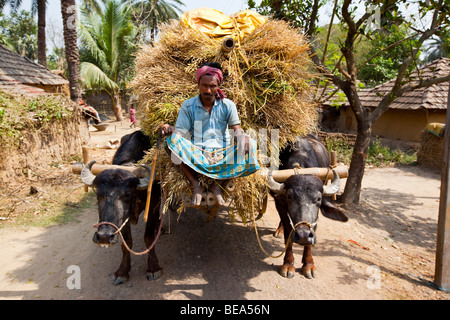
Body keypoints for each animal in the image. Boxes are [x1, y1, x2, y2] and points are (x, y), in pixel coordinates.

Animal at [80, 130, 163, 284]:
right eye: (99, 194)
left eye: (127, 194)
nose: (104, 236)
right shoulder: (123, 218)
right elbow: (127, 242)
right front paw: (122, 271)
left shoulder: (154, 202)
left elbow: (148, 237)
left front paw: (153, 268)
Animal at [268, 134, 348, 278]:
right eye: (289, 196)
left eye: (318, 199)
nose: (303, 235)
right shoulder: (280, 204)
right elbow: (288, 232)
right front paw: (288, 264)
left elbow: (313, 230)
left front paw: (309, 265)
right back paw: (279, 231)